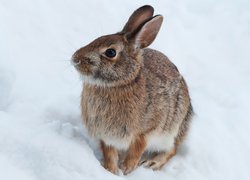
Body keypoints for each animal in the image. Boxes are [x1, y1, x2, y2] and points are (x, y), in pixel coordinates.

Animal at [72, 4, 193, 175]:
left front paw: (127, 169)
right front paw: (111, 170)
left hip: (172, 130)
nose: (75, 58)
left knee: (172, 150)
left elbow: (137, 149)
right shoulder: (106, 136)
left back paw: (152, 163)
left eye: (110, 52)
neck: (118, 84)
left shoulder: (146, 130)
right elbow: (109, 153)